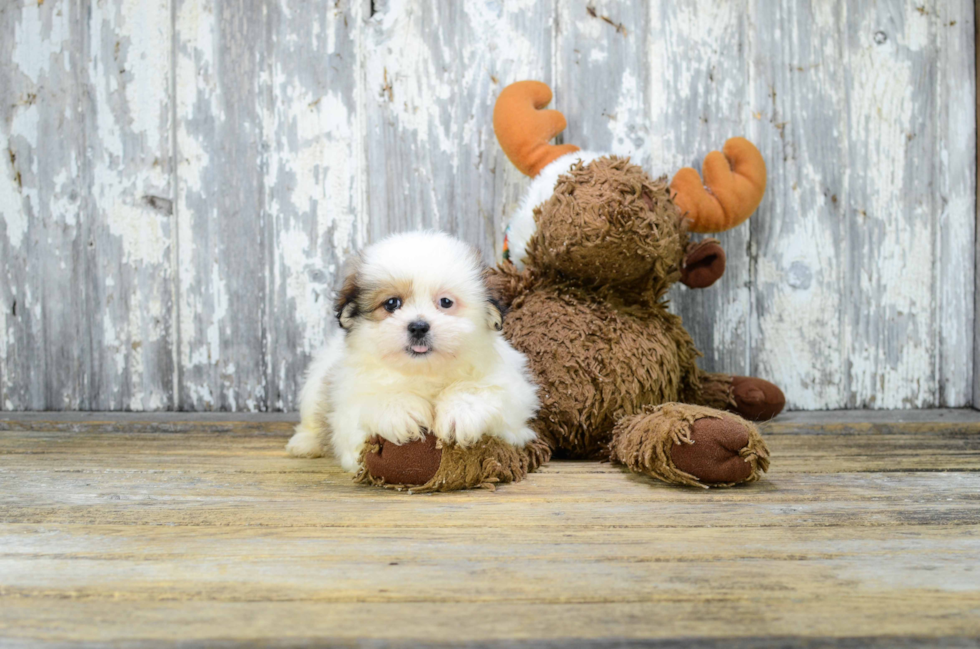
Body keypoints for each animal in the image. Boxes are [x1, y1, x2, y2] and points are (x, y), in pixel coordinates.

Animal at [288, 232, 540, 470]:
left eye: (446, 302)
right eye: (391, 303)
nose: (418, 326)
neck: (425, 373)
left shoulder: (512, 393)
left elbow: (485, 392)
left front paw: (460, 412)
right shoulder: (348, 403)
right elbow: (371, 403)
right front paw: (400, 411)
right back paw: (305, 443)